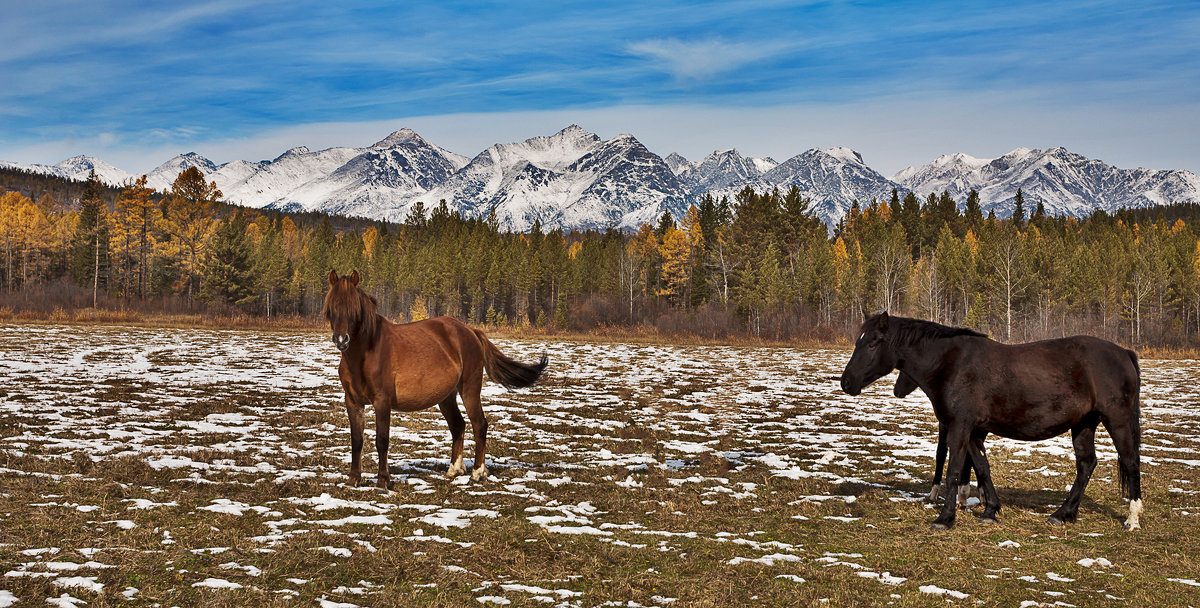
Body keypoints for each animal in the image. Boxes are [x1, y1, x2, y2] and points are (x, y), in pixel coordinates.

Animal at [319, 271, 544, 489]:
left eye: (354, 308)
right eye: (331, 308)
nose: (341, 339)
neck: (366, 353)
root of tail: (470, 331)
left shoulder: (382, 402)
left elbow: (382, 440)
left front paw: (382, 482)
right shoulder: (352, 401)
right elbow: (356, 440)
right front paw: (353, 480)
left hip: (470, 389)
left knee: (479, 424)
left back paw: (477, 474)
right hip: (446, 397)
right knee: (458, 425)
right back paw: (454, 470)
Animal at [840, 314, 1137, 532]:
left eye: (873, 343)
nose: (846, 382)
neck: (951, 364)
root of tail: (1123, 352)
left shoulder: (959, 428)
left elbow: (953, 471)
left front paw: (945, 519)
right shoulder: (973, 431)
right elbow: (982, 468)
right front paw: (990, 510)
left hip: (1117, 420)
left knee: (1130, 461)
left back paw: (1132, 519)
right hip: (1084, 424)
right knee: (1086, 464)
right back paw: (1064, 513)